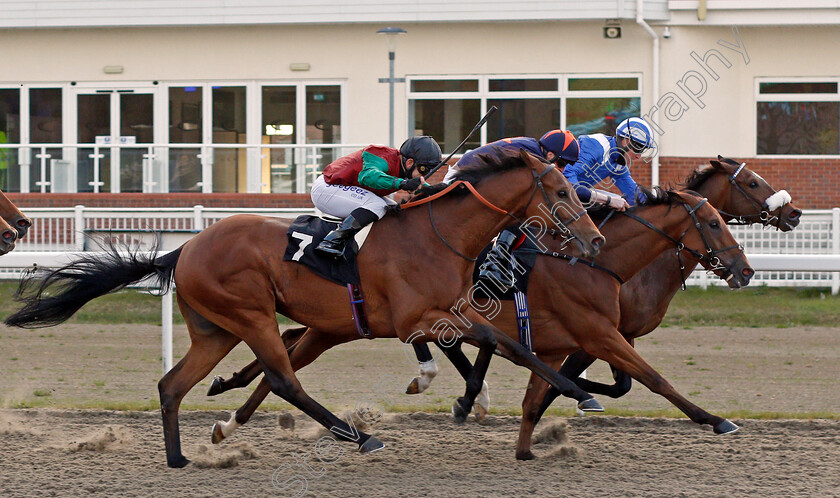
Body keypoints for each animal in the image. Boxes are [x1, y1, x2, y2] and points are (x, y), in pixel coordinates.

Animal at [3, 148, 608, 466]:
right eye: (560, 193)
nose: (595, 240)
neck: (440, 233)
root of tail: (187, 247)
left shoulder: (455, 312)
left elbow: (513, 347)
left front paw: (578, 391)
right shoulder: (419, 319)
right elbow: (485, 348)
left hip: (216, 329)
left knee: (174, 384)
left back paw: (180, 457)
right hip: (250, 315)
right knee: (284, 378)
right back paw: (358, 434)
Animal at [199, 188, 756, 456]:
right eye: (713, 222)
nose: (746, 270)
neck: (598, 263)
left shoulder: (576, 340)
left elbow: (561, 383)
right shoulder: (598, 333)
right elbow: (651, 380)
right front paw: (716, 420)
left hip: (336, 325)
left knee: (288, 355)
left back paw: (230, 416)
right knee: (285, 361)